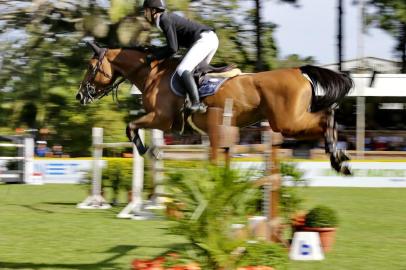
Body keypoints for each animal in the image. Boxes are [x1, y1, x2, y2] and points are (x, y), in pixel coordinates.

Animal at [77, 41, 354, 174]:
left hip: (287, 122)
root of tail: (300, 71)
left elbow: (130, 127)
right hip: (285, 122)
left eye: (91, 68)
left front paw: (149, 152)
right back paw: (339, 158)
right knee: (327, 118)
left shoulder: (160, 118)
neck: (152, 75)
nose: (80, 95)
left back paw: (336, 157)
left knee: (326, 118)